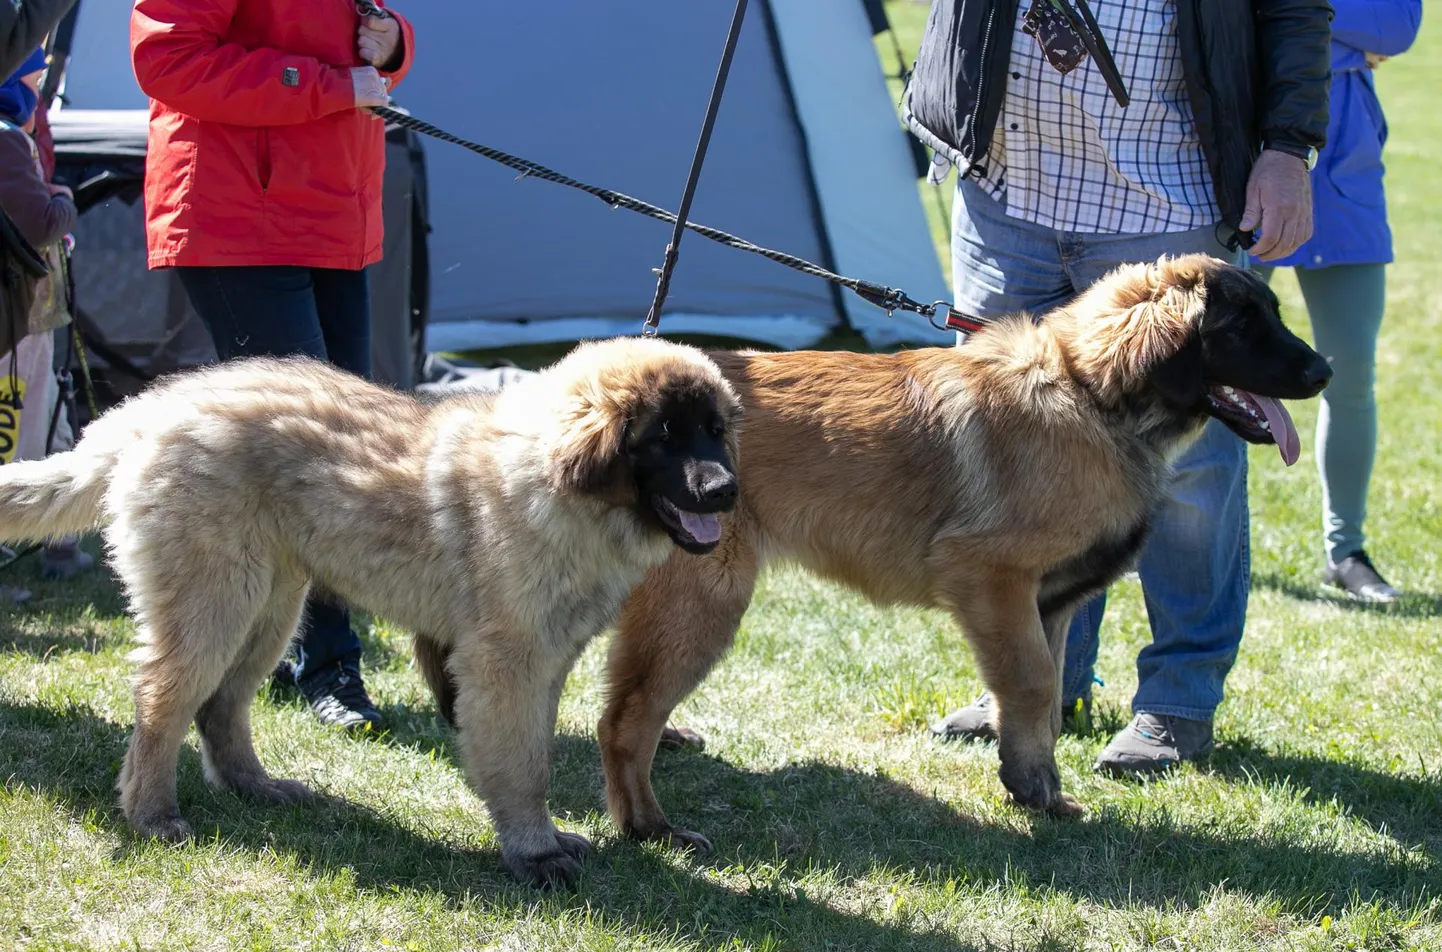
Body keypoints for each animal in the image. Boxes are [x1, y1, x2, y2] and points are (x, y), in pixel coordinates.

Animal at [0, 334, 744, 882]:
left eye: (714, 432)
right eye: (663, 437)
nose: (727, 490)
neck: (554, 486)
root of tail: (153, 409)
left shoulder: (547, 659)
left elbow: (536, 752)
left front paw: (549, 840)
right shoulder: (507, 664)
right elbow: (523, 763)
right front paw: (535, 852)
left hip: (270, 606)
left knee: (221, 704)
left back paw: (255, 787)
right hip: (213, 597)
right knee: (162, 699)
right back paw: (152, 814)